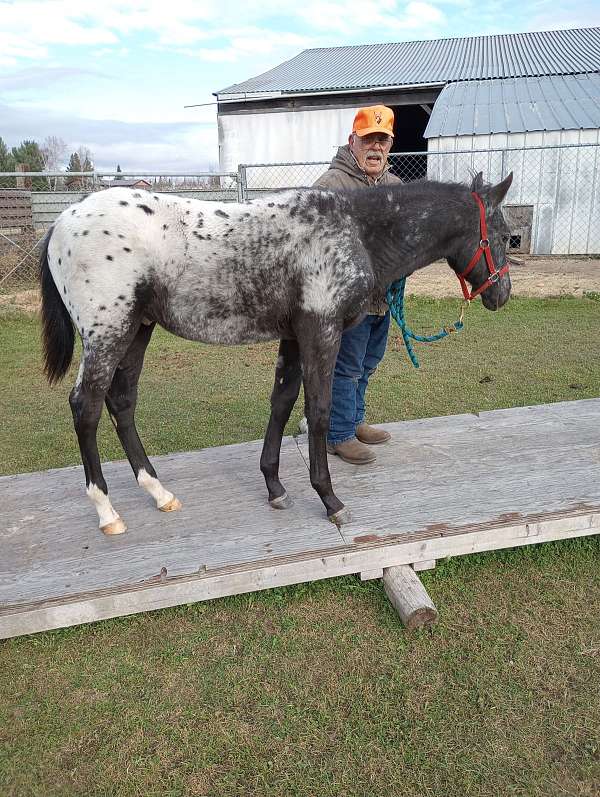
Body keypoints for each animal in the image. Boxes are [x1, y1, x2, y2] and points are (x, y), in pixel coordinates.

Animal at [39, 171, 513, 535]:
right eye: (505, 235)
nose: (502, 295)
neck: (356, 231)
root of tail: (61, 221)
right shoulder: (321, 332)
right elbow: (318, 410)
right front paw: (329, 499)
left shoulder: (295, 336)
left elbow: (281, 403)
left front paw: (275, 488)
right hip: (108, 332)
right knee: (86, 406)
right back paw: (107, 512)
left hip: (137, 329)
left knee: (122, 401)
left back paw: (160, 493)